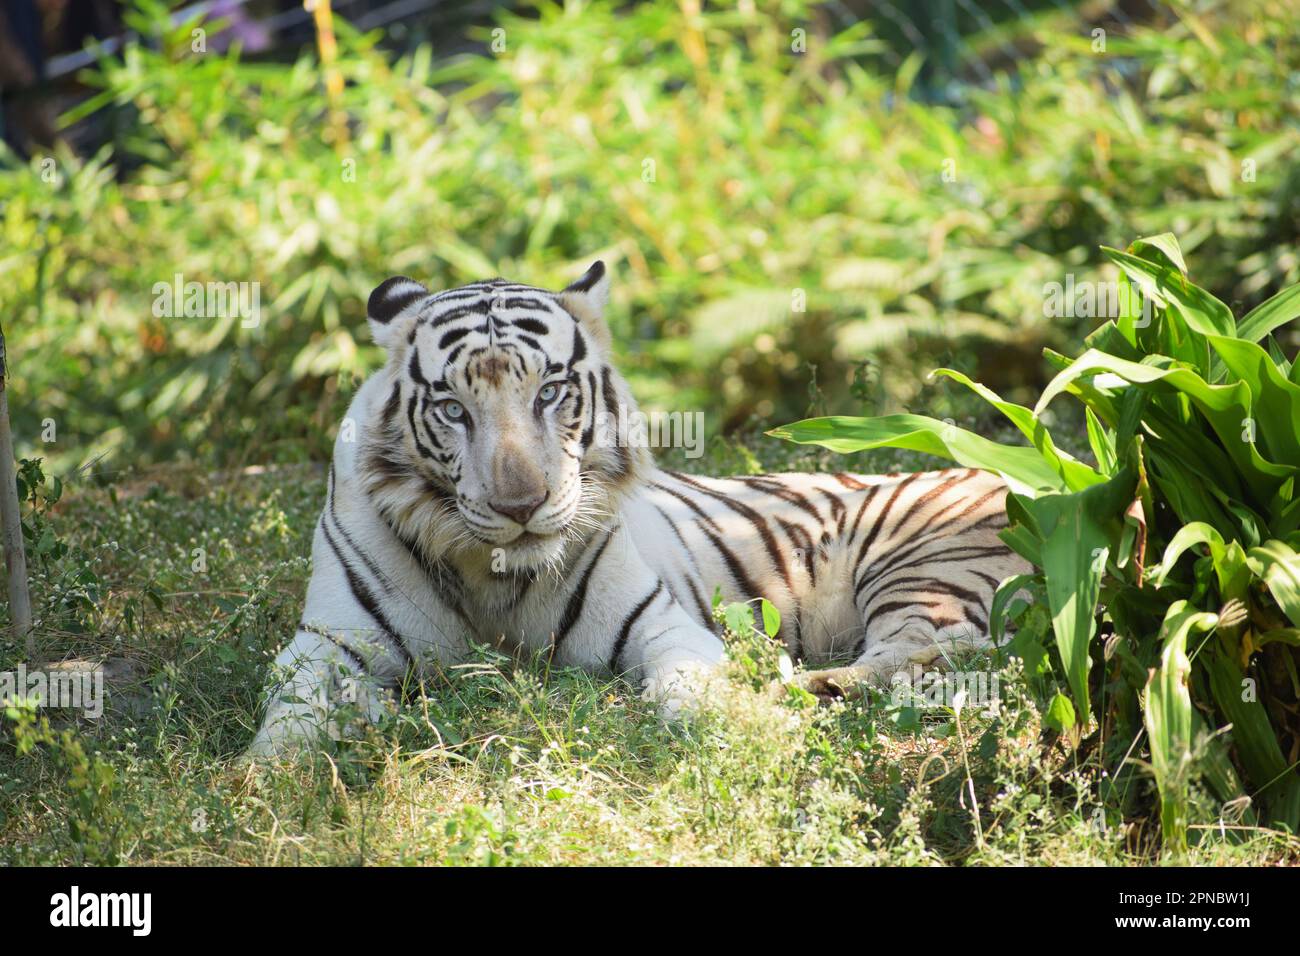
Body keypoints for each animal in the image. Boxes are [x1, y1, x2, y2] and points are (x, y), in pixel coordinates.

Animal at [248, 260, 1029, 754]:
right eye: (452, 409)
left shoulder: (663, 626)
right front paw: (269, 778)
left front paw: (731, 730)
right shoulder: (328, 644)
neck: (493, 576)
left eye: (550, 392)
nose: (522, 504)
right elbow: (289, 714)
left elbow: (692, 693)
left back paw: (806, 685)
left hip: (926, 565)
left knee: (932, 651)